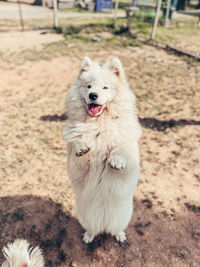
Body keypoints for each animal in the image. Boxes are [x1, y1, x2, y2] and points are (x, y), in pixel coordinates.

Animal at [63, 57, 141, 245]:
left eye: (105, 87)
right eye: (89, 86)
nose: (93, 95)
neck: (98, 124)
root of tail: (104, 226)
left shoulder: (130, 157)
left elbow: (122, 148)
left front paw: (116, 160)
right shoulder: (77, 166)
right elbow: (76, 142)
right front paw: (81, 146)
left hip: (123, 217)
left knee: (117, 229)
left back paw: (120, 236)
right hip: (85, 217)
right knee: (92, 230)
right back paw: (89, 236)